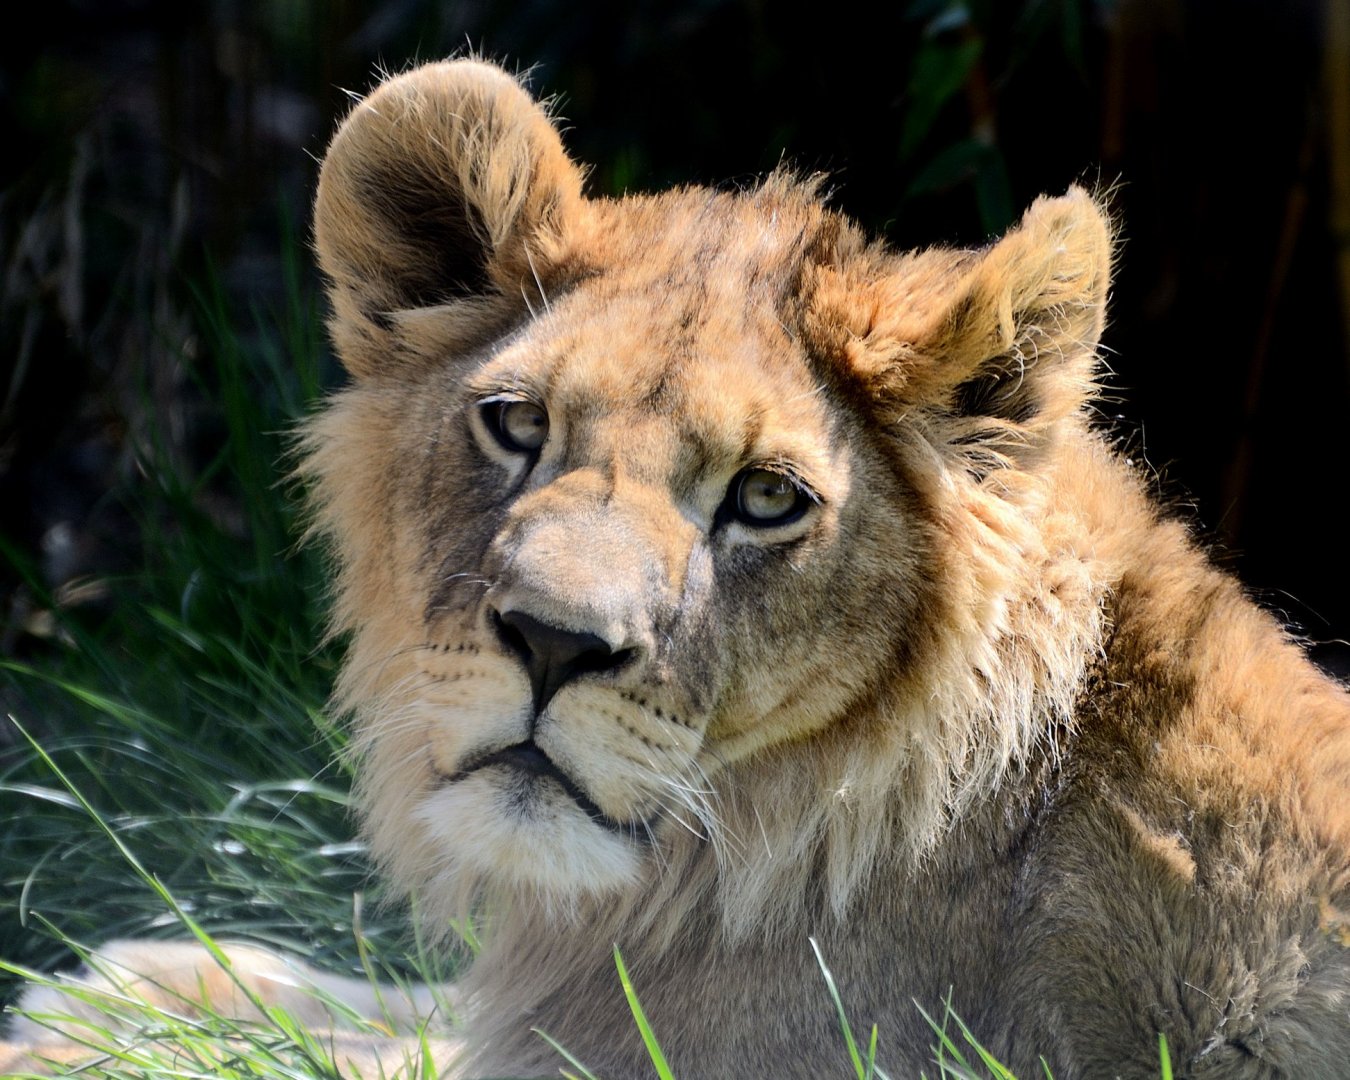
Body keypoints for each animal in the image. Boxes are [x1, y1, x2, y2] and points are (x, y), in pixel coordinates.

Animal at [4, 58, 1349, 1078]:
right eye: (517, 424)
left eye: (765, 498)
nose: (553, 643)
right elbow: (405, 1006)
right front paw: (140, 979)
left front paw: (80, 1033)